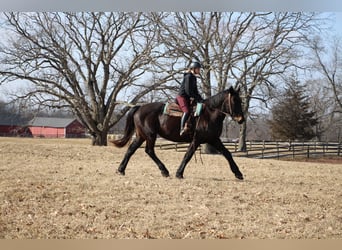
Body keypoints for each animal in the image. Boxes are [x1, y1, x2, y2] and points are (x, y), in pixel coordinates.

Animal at [111, 86, 243, 180]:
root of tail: (139, 107)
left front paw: (238, 173)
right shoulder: (197, 140)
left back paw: (121, 169)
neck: (209, 114)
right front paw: (179, 173)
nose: (241, 119)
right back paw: (164, 171)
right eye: (234, 100)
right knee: (149, 151)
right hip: (150, 135)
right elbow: (188, 155)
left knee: (131, 150)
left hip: (141, 136)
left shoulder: (214, 139)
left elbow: (227, 154)